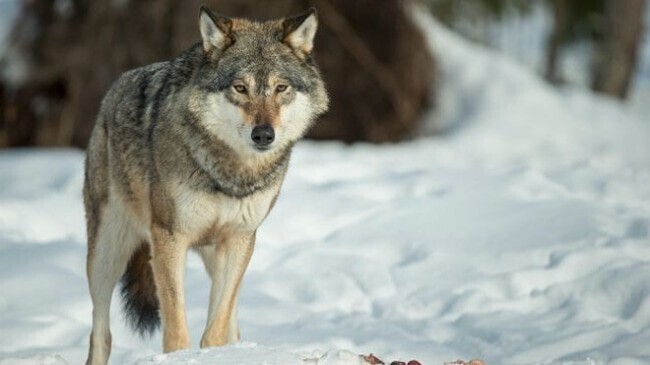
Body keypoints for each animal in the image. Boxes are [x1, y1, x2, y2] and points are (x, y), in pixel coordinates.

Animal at [83, 6, 330, 364]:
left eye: (281, 88)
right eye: (240, 88)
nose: (263, 135)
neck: (230, 174)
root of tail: (113, 90)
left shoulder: (240, 239)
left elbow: (216, 327)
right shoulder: (169, 238)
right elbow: (176, 329)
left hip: (217, 254)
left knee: (233, 325)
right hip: (107, 254)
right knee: (101, 333)